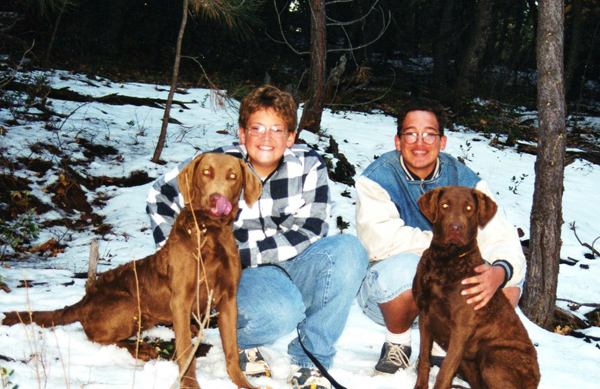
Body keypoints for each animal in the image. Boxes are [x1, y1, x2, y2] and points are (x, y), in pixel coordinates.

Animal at [2, 152, 262, 388]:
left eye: (232, 176)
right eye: (206, 172)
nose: (216, 199)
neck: (210, 233)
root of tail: (84, 298)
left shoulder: (229, 299)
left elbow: (231, 350)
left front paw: (243, 384)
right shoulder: (181, 299)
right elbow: (186, 353)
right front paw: (190, 385)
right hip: (128, 305)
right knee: (98, 338)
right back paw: (143, 348)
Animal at [412, 185, 540, 388]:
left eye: (469, 208)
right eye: (445, 205)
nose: (456, 228)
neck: (445, 261)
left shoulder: (460, 327)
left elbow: (444, 373)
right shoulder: (425, 316)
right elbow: (424, 359)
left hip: (492, 357)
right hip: (469, 362)